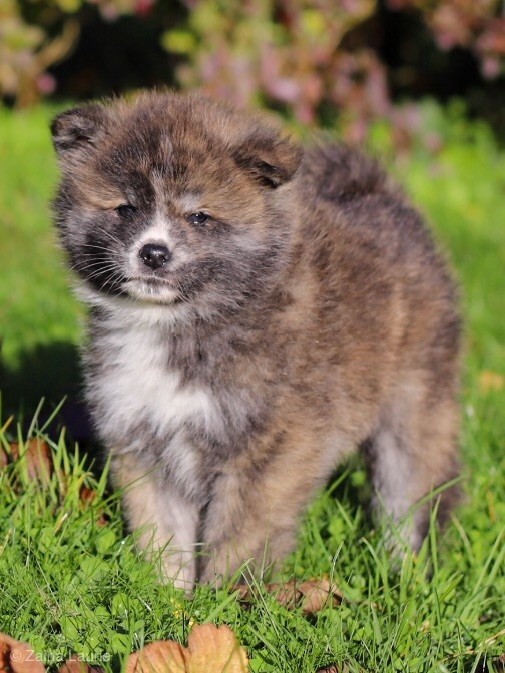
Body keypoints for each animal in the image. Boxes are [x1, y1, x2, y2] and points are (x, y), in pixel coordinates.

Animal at [51, 91, 461, 588]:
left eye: (199, 217)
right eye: (126, 208)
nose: (154, 253)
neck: (184, 323)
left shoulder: (269, 449)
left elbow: (239, 533)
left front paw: (224, 596)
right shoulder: (144, 438)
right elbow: (162, 531)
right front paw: (169, 594)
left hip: (415, 407)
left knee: (414, 492)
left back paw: (407, 570)